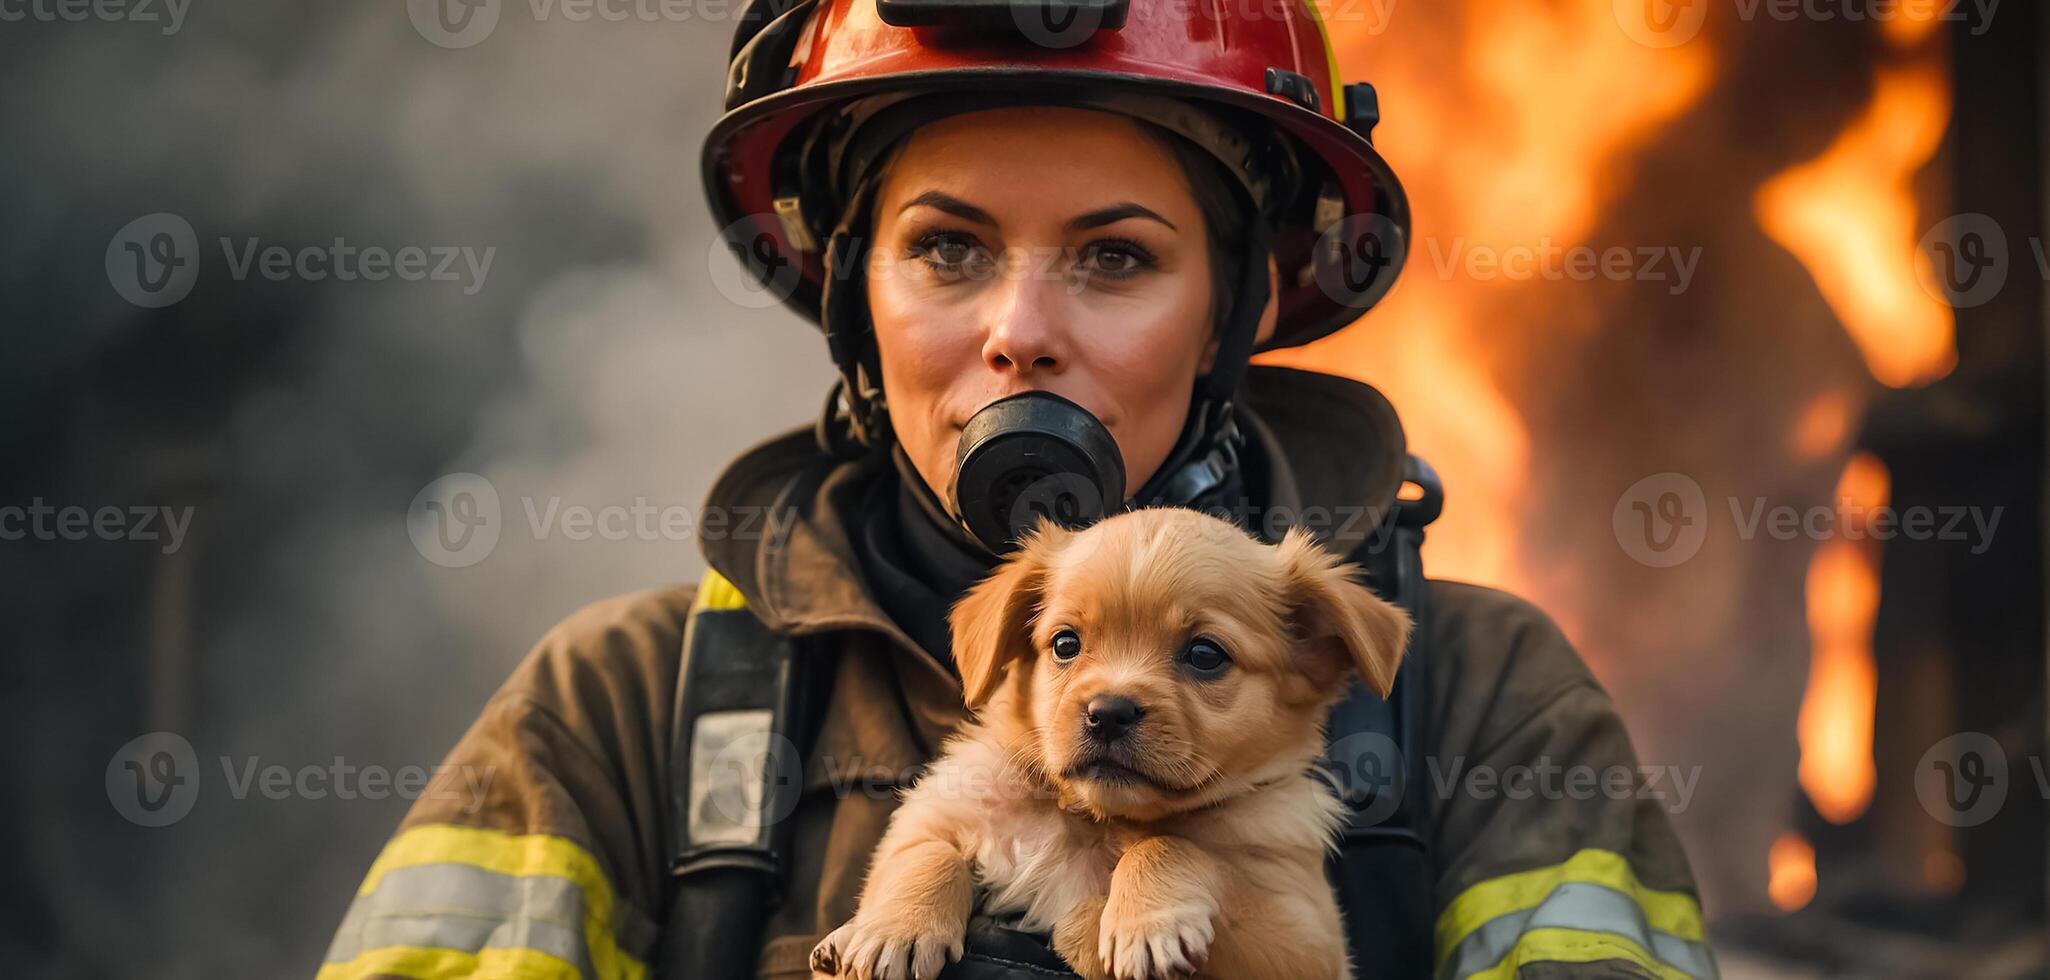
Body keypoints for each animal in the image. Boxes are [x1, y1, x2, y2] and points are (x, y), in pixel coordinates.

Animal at [811, 508, 1410, 975]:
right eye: (1065, 644)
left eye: (1205, 654)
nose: (1108, 714)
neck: (1092, 819)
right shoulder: (930, 817)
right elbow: (927, 852)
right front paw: (894, 930)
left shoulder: (1304, 933)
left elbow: (1169, 845)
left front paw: (1119, 925)